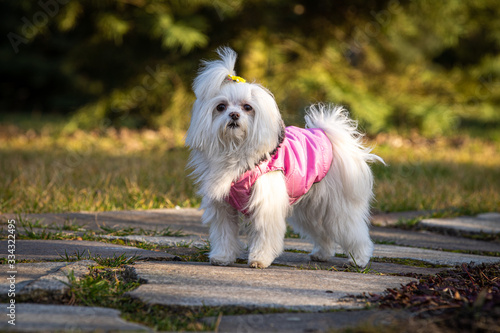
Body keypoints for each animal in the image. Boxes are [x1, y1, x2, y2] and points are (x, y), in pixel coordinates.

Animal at [185, 47, 382, 268]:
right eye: (221, 107)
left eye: (247, 107)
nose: (234, 115)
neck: (237, 150)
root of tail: (326, 135)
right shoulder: (223, 207)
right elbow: (224, 234)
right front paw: (222, 257)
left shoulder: (266, 205)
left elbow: (264, 235)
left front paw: (260, 259)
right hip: (309, 209)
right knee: (322, 233)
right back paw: (321, 253)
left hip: (337, 207)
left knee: (354, 232)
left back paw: (359, 259)